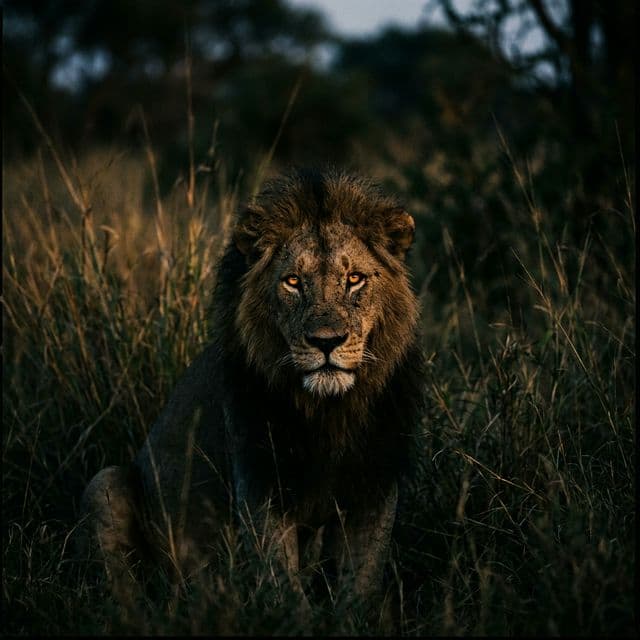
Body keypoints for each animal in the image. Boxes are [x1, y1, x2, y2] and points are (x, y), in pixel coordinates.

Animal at [80, 168, 426, 613]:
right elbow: (283, 589)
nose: (326, 342)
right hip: (104, 484)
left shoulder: (374, 484)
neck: (328, 412)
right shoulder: (261, 483)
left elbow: (361, 587)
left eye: (354, 279)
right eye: (293, 282)